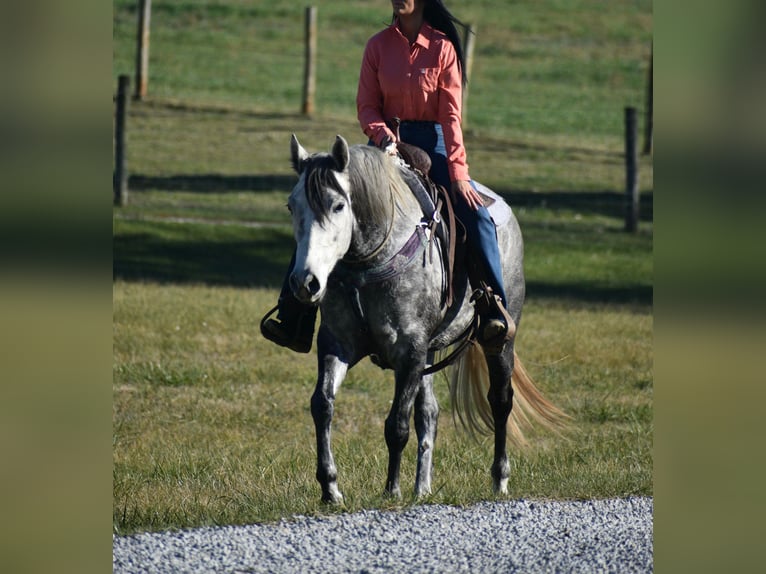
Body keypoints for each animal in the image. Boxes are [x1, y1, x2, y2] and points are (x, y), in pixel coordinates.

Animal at [284, 135, 568, 504]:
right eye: (292, 206)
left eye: (338, 206)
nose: (305, 283)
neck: (369, 265)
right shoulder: (337, 343)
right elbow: (322, 405)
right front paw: (330, 487)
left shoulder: (410, 351)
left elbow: (397, 424)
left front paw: (391, 489)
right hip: (430, 353)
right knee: (429, 412)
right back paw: (423, 487)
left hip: (500, 339)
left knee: (500, 399)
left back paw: (499, 479)